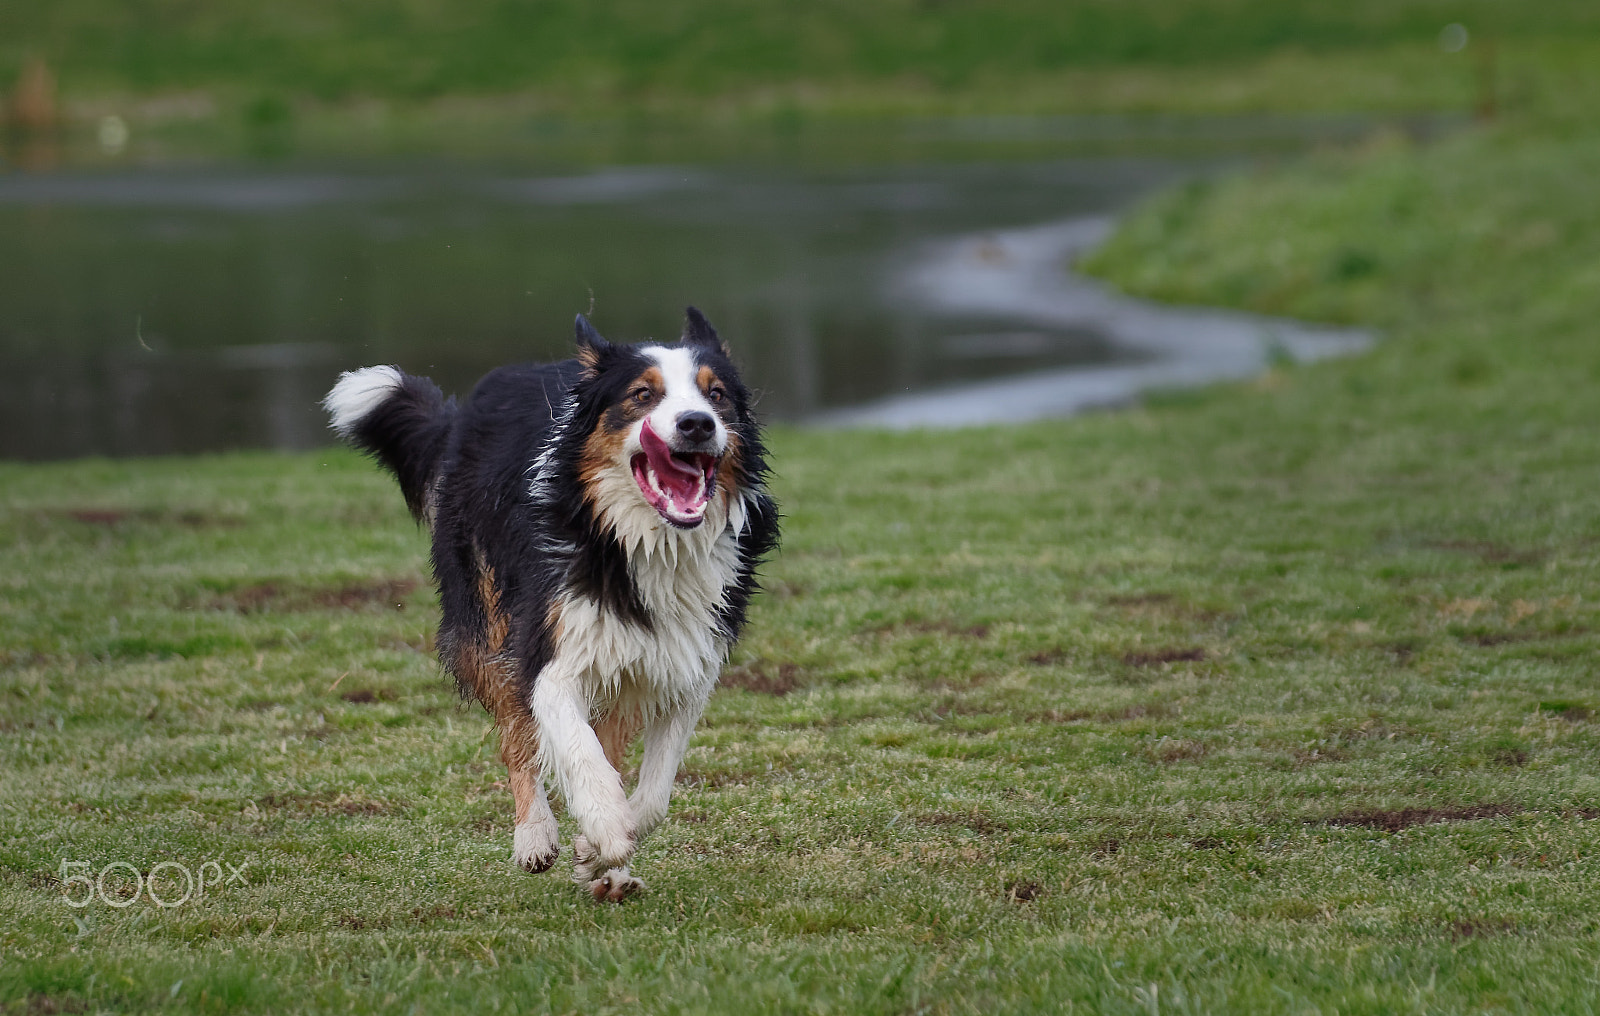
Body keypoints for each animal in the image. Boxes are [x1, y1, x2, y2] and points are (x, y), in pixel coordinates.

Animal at [316, 305, 774, 902]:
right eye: (642, 395)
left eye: (715, 393)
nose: (697, 423)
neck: (644, 544)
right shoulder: (548, 652)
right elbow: (575, 749)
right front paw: (603, 828)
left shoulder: (685, 664)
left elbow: (653, 792)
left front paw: (596, 851)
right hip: (486, 621)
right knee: (516, 734)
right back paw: (534, 835)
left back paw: (606, 873)